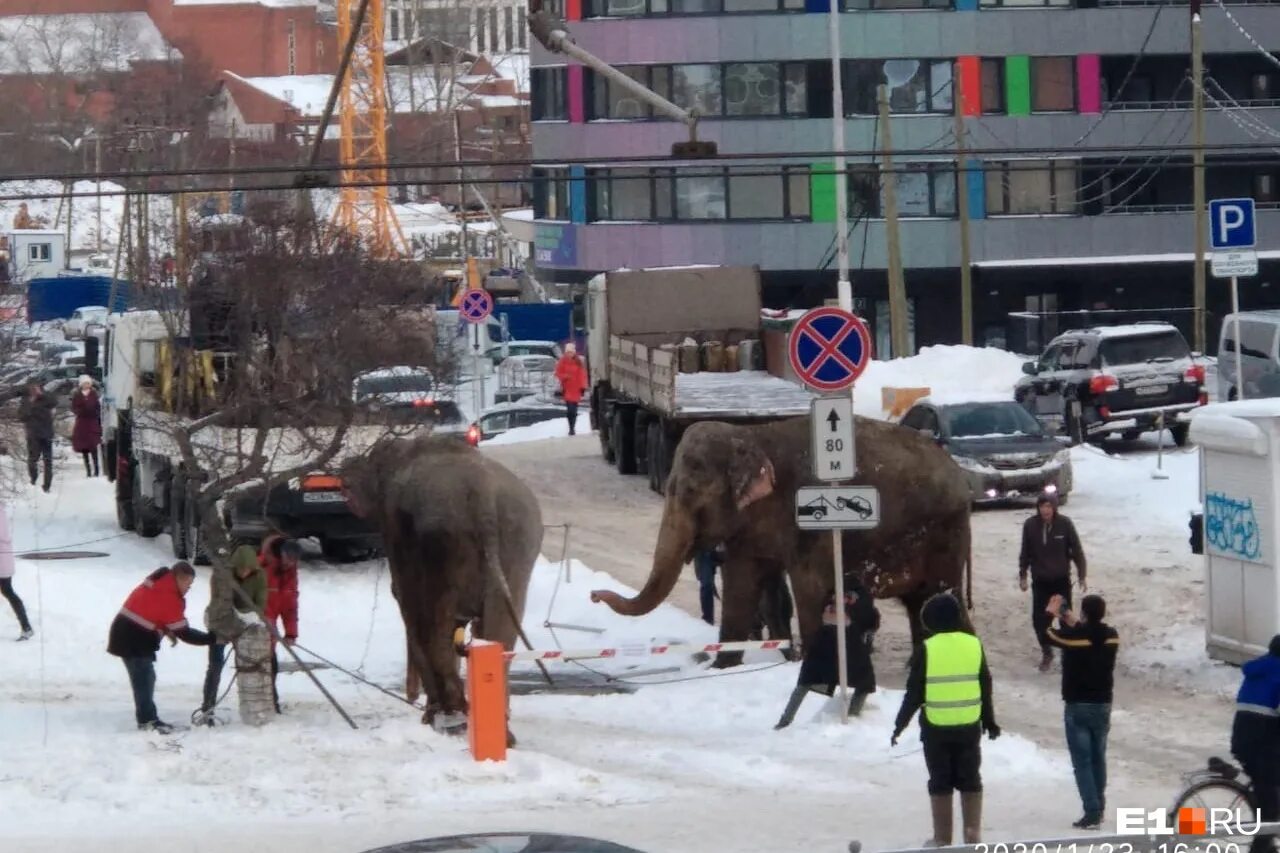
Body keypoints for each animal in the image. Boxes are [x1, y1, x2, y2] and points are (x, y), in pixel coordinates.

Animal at [337, 435, 542, 732]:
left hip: (443, 540)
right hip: (520, 539)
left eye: (373, 454)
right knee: (499, 628)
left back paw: (448, 716)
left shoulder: (395, 528)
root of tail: (482, 492)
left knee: (437, 619)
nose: (410, 696)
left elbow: (405, 598)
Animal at [588, 412, 967, 666]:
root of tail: (960, 474)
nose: (593, 595)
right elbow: (741, 584)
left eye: (691, 493)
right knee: (921, 605)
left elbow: (809, 587)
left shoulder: (806, 519)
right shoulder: (750, 530)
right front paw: (723, 667)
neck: (750, 435)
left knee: (939, 596)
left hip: (944, 533)